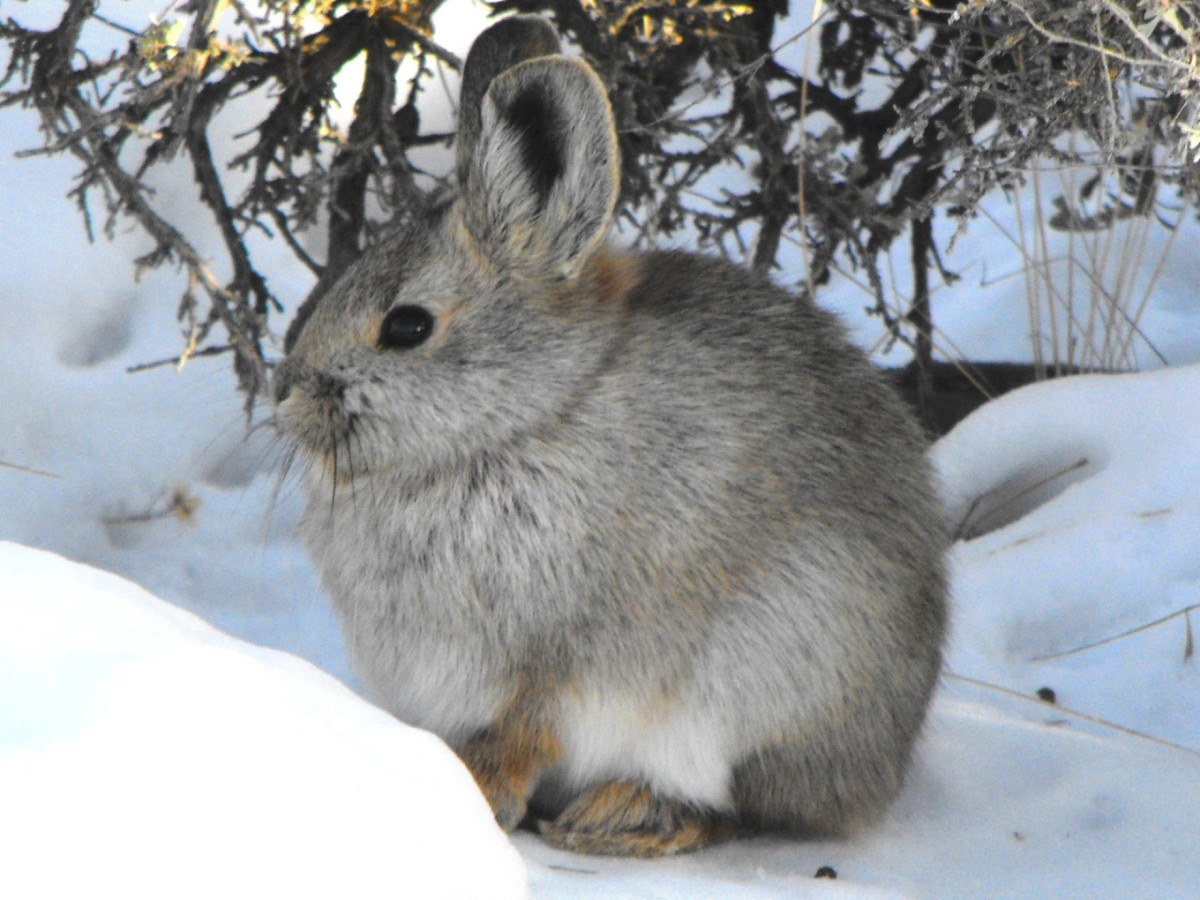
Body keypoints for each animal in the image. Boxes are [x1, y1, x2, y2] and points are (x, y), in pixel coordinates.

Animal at [272, 15, 948, 858]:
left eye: (407, 326)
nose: (288, 394)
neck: (524, 419)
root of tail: (886, 764)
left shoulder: (561, 664)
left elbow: (524, 734)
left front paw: (474, 793)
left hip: (767, 675)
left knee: (735, 806)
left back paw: (619, 818)